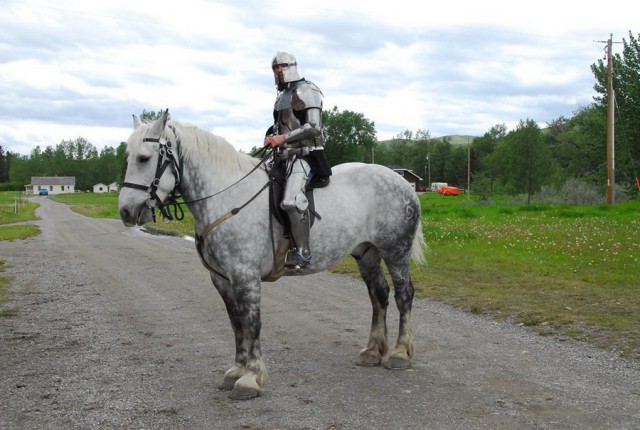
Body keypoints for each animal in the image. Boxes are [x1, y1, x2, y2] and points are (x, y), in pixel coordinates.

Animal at [119, 111, 424, 400]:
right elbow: (237, 323)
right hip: (367, 253)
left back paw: (399, 354)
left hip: (395, 251)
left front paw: (250, 379)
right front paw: (236, 371)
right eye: (128, 157)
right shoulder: (222, 279)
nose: (126, 212)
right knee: (379, 295)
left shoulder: (245, 277)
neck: (227, 197)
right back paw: (373, 352)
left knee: (403, 295)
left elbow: (252, 324)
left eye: (144, 158)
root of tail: (402, 183)